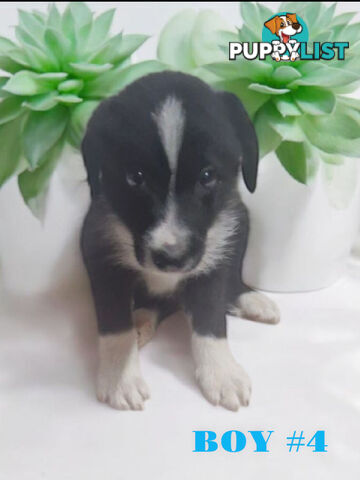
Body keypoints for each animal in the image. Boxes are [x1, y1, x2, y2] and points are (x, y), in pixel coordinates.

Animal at [80, 72, 280, 412]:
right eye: (135, 177)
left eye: (207, 175)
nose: (171, 259)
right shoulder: (99, 251)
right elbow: (114, 321)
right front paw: (121, 377)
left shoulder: (215, 255)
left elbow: (211, 317)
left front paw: (221, 372)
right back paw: (141, 323)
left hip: (240, 221)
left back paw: (250, 299)